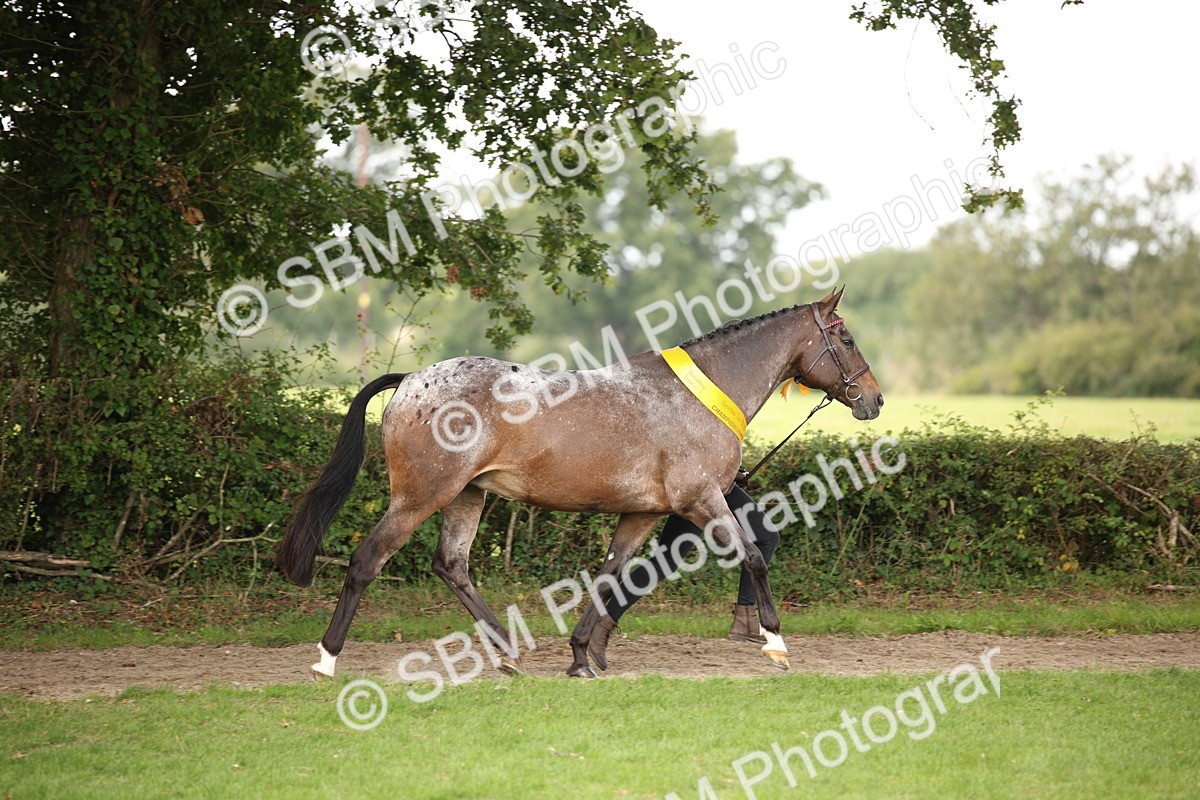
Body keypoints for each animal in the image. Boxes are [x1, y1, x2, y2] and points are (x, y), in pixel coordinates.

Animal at [275, 286, 883, 679]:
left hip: (467, 496)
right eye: (848, 339)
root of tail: (410, 381)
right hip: (420, 497)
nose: (874, 399)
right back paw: (327, 659)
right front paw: (776, 644)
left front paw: (580, 657)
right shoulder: (703, 500)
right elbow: (754, 556)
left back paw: (508, 653)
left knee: (451, 565)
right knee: (367, 561)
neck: (702, 392)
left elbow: (612, 574)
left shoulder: (644, 513)